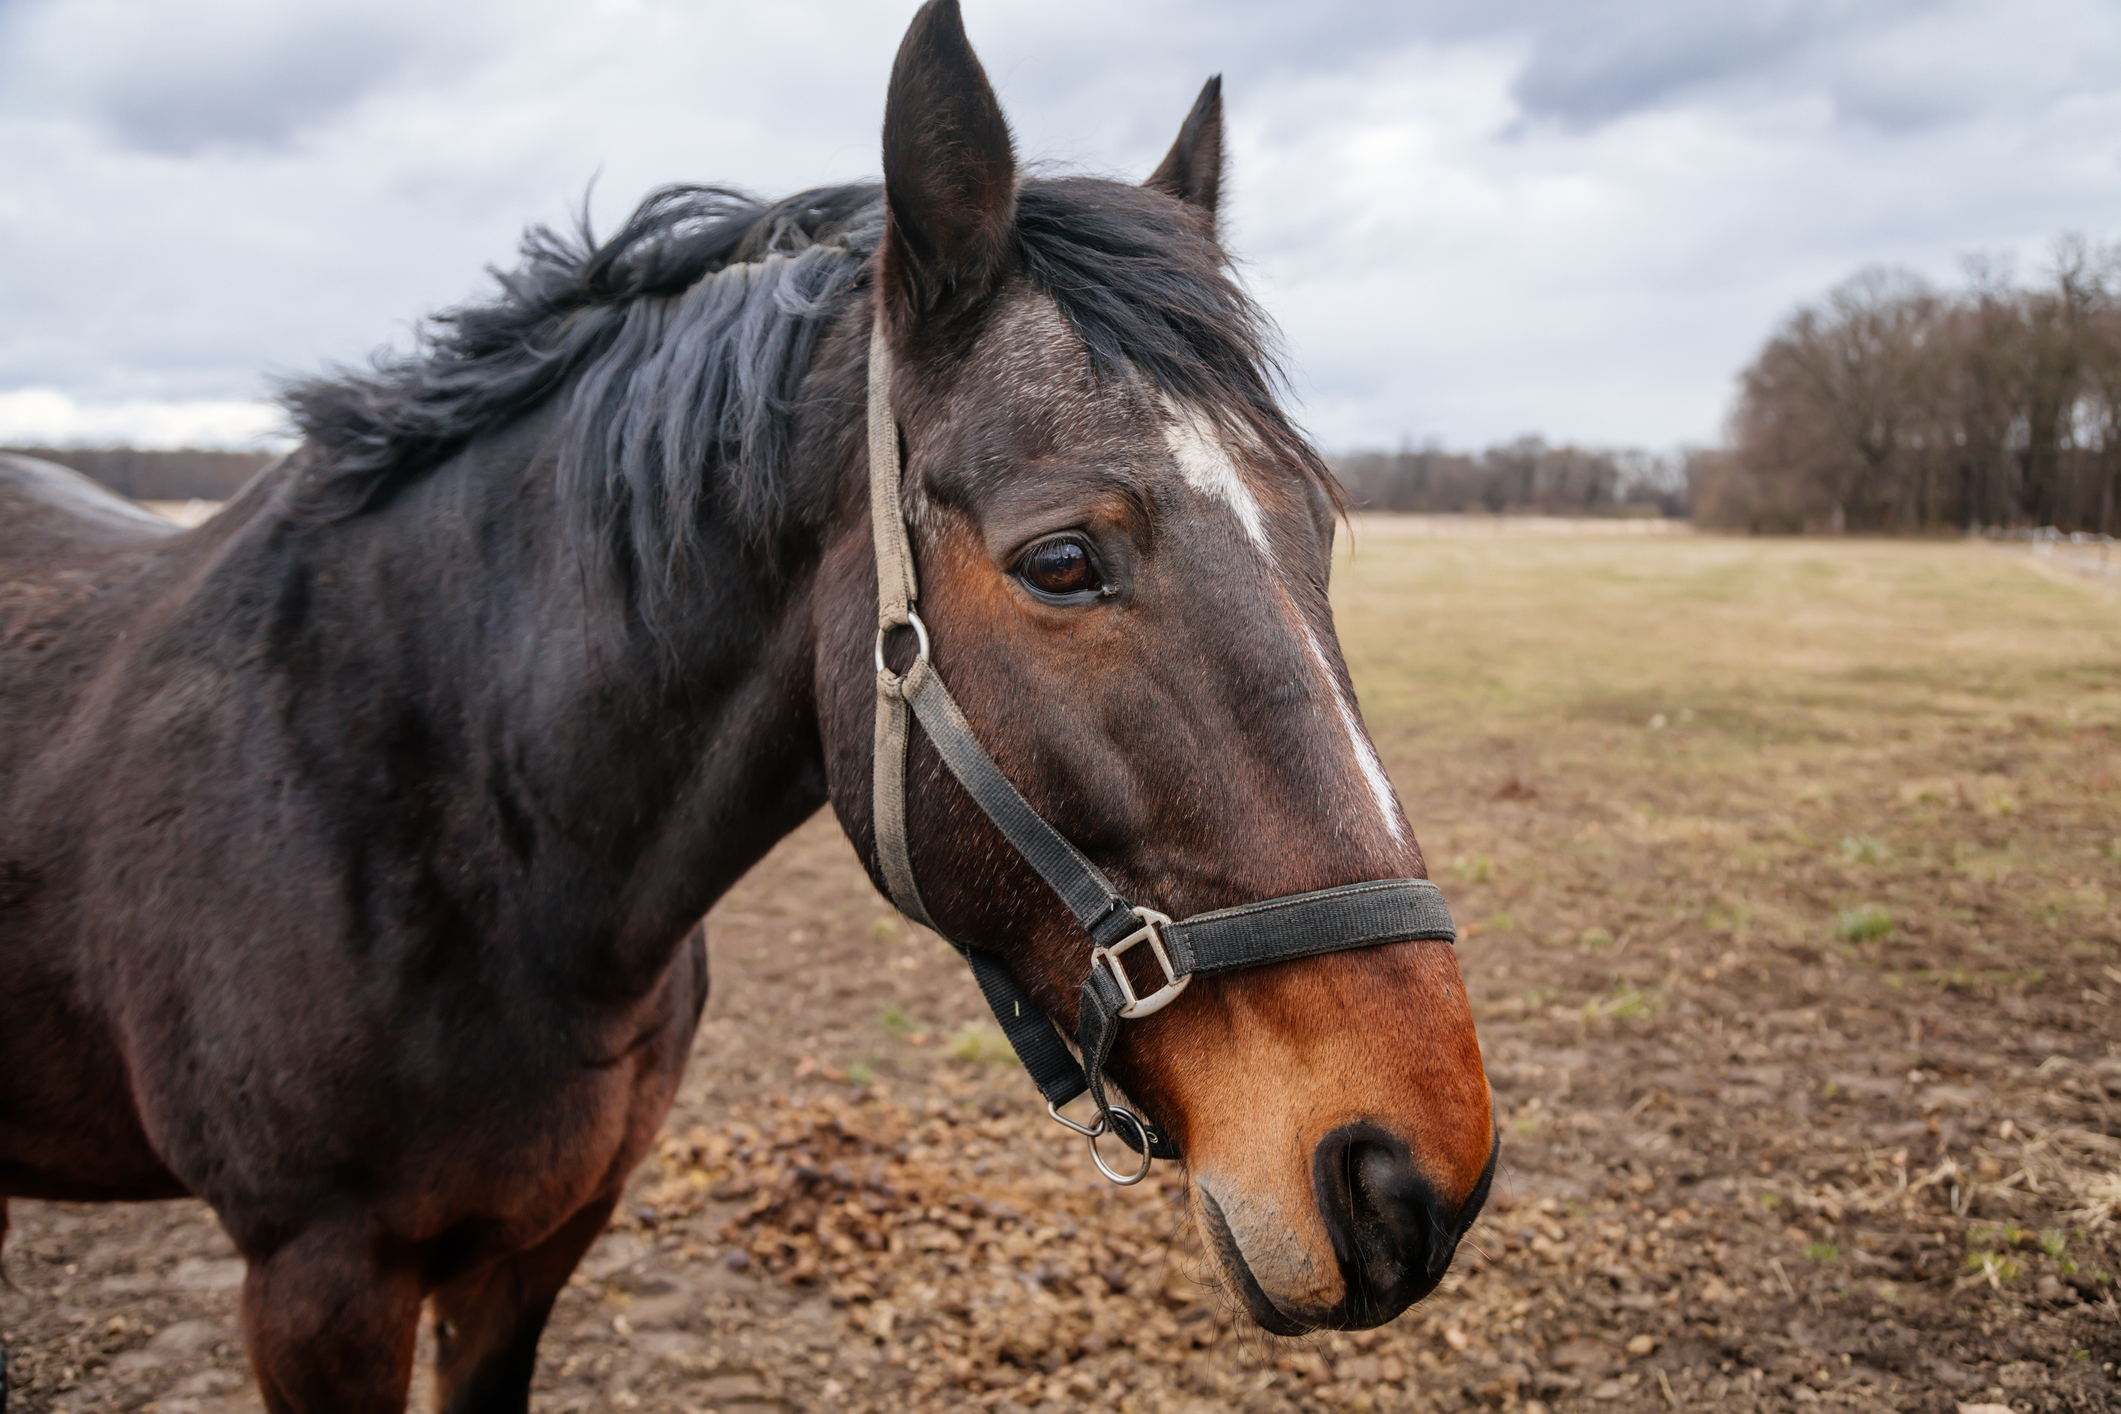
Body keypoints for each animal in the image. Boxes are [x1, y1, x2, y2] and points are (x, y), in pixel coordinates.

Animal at [0, 3, 1495, 1409]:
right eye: (1063, 560)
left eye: (1316, 531)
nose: (1417, 1176)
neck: (443, 823)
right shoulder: (315, 1290)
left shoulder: (532, 1251)